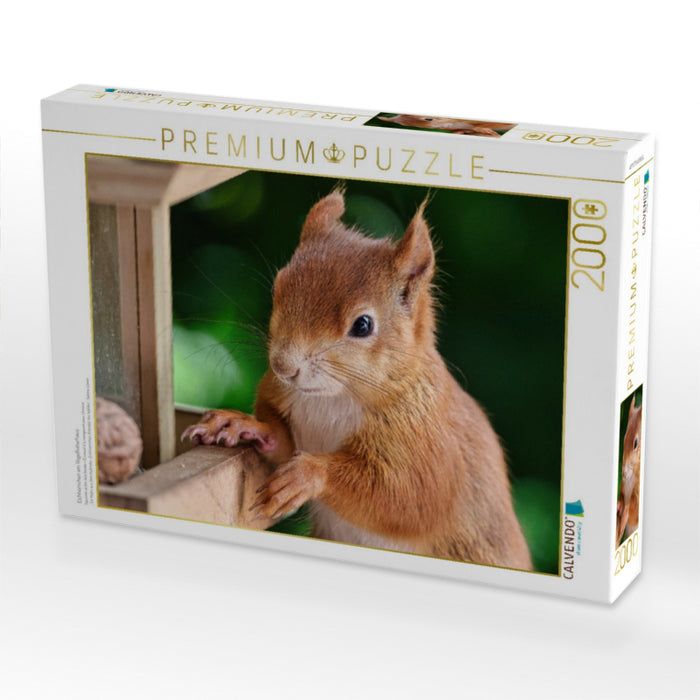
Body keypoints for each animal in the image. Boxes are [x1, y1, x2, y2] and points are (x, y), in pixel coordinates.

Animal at [182, 190, 532, 570]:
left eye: (363, 325)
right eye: (278, 288)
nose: (283, 367)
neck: (331, 399)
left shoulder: (428, 447)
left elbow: (409, 499)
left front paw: (307, 475)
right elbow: (279, 442)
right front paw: (241, 424)